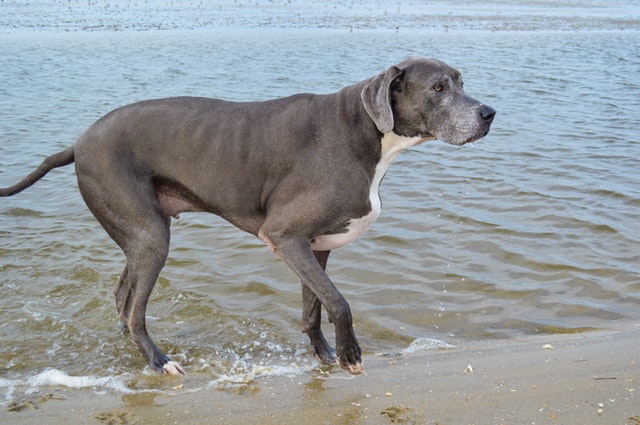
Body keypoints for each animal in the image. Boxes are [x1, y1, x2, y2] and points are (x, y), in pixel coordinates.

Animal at [1, 56, 496, 374]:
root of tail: (78, 143)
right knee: (136, 310)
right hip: (150, 236)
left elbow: (313, 308)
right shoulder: (284, 234)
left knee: (124, 296)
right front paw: (351, 354)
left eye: (461, 81)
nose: (489, 112)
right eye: (438, 88)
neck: (366, 131)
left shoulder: (315, 247)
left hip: (138, 234)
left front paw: (324, 356)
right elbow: (339, 302)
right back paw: (159, 361)